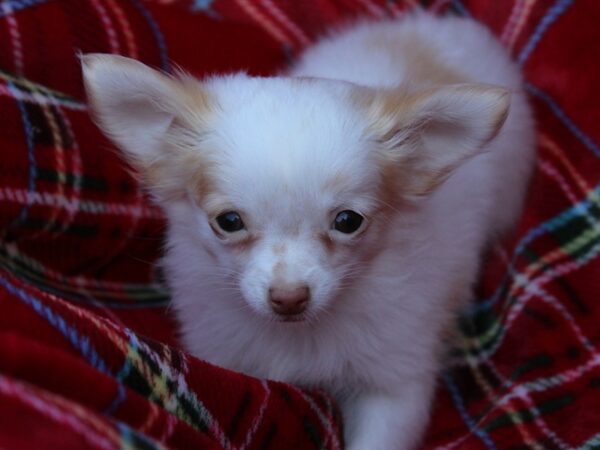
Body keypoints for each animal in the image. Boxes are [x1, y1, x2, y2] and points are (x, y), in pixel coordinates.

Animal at [81, 12, 536, 450]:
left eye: (348, 221)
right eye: (229, 222)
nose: (288, 298)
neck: (299, 338)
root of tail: (441, 27)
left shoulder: (394, 384)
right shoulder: (223, 356)